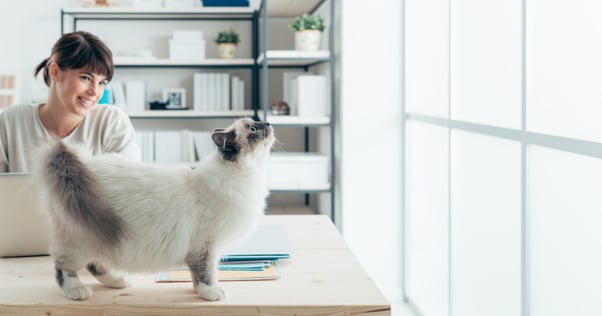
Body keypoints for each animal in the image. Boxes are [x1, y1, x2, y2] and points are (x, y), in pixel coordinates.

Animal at [34, 118, 274, 302]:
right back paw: (77, 290)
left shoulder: (202, 247)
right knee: (64, 266)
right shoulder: (206, 246)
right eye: (253, 129)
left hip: (99, 236)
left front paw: (197, 291)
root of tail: (80, 163)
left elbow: (195, 276)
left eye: (258, 123)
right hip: (82, 238)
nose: (269, 123)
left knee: (95, 264)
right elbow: (206, 273)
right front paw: (211, 293)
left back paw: (119, 281)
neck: (248, 173)